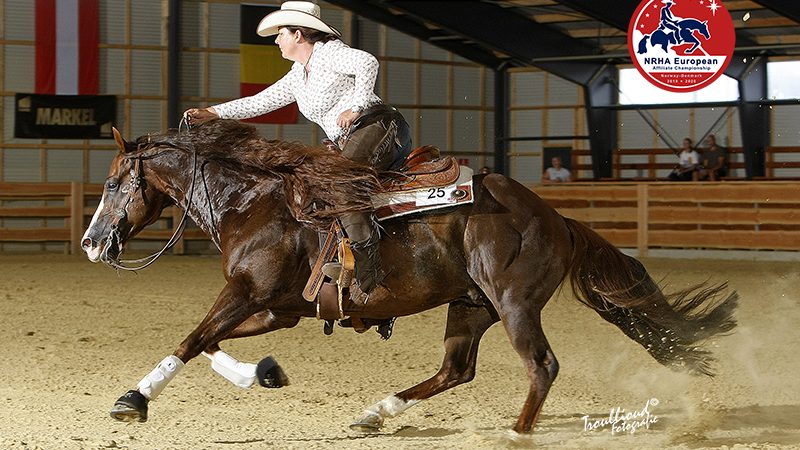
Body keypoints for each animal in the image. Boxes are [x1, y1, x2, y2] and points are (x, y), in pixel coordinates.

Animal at [81, 119, 736, 432]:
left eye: (112, 183)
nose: (90, 243)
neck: (252, 202)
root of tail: (557, 218)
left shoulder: (247, 293)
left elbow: (193, 337)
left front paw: (132, 400)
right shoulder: (276, 308)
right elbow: (210, 343)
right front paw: (263, 374)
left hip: (514, 303)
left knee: (541, 366)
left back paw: (516, 432)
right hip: (470, 304)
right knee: (456, 370)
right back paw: (376, 413)